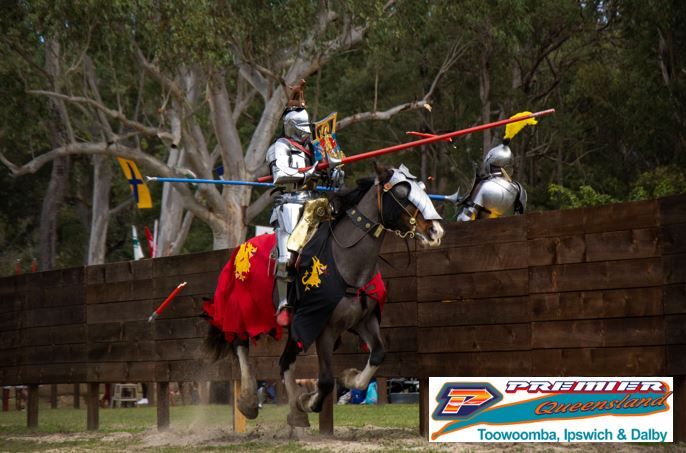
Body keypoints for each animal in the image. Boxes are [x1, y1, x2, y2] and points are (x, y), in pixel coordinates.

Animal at [204, 162, 444, 430]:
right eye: (402, 194)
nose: (435, 231)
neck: (345, 260)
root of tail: (240, 249)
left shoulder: (365, 321)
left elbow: (377, 355)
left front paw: (349, 379)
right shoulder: (322, 327)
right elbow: (327, 380)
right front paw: (309, 401)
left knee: (284, 362)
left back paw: (295, 414)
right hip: (245, 312)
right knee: (240, 343)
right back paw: (248, 401)